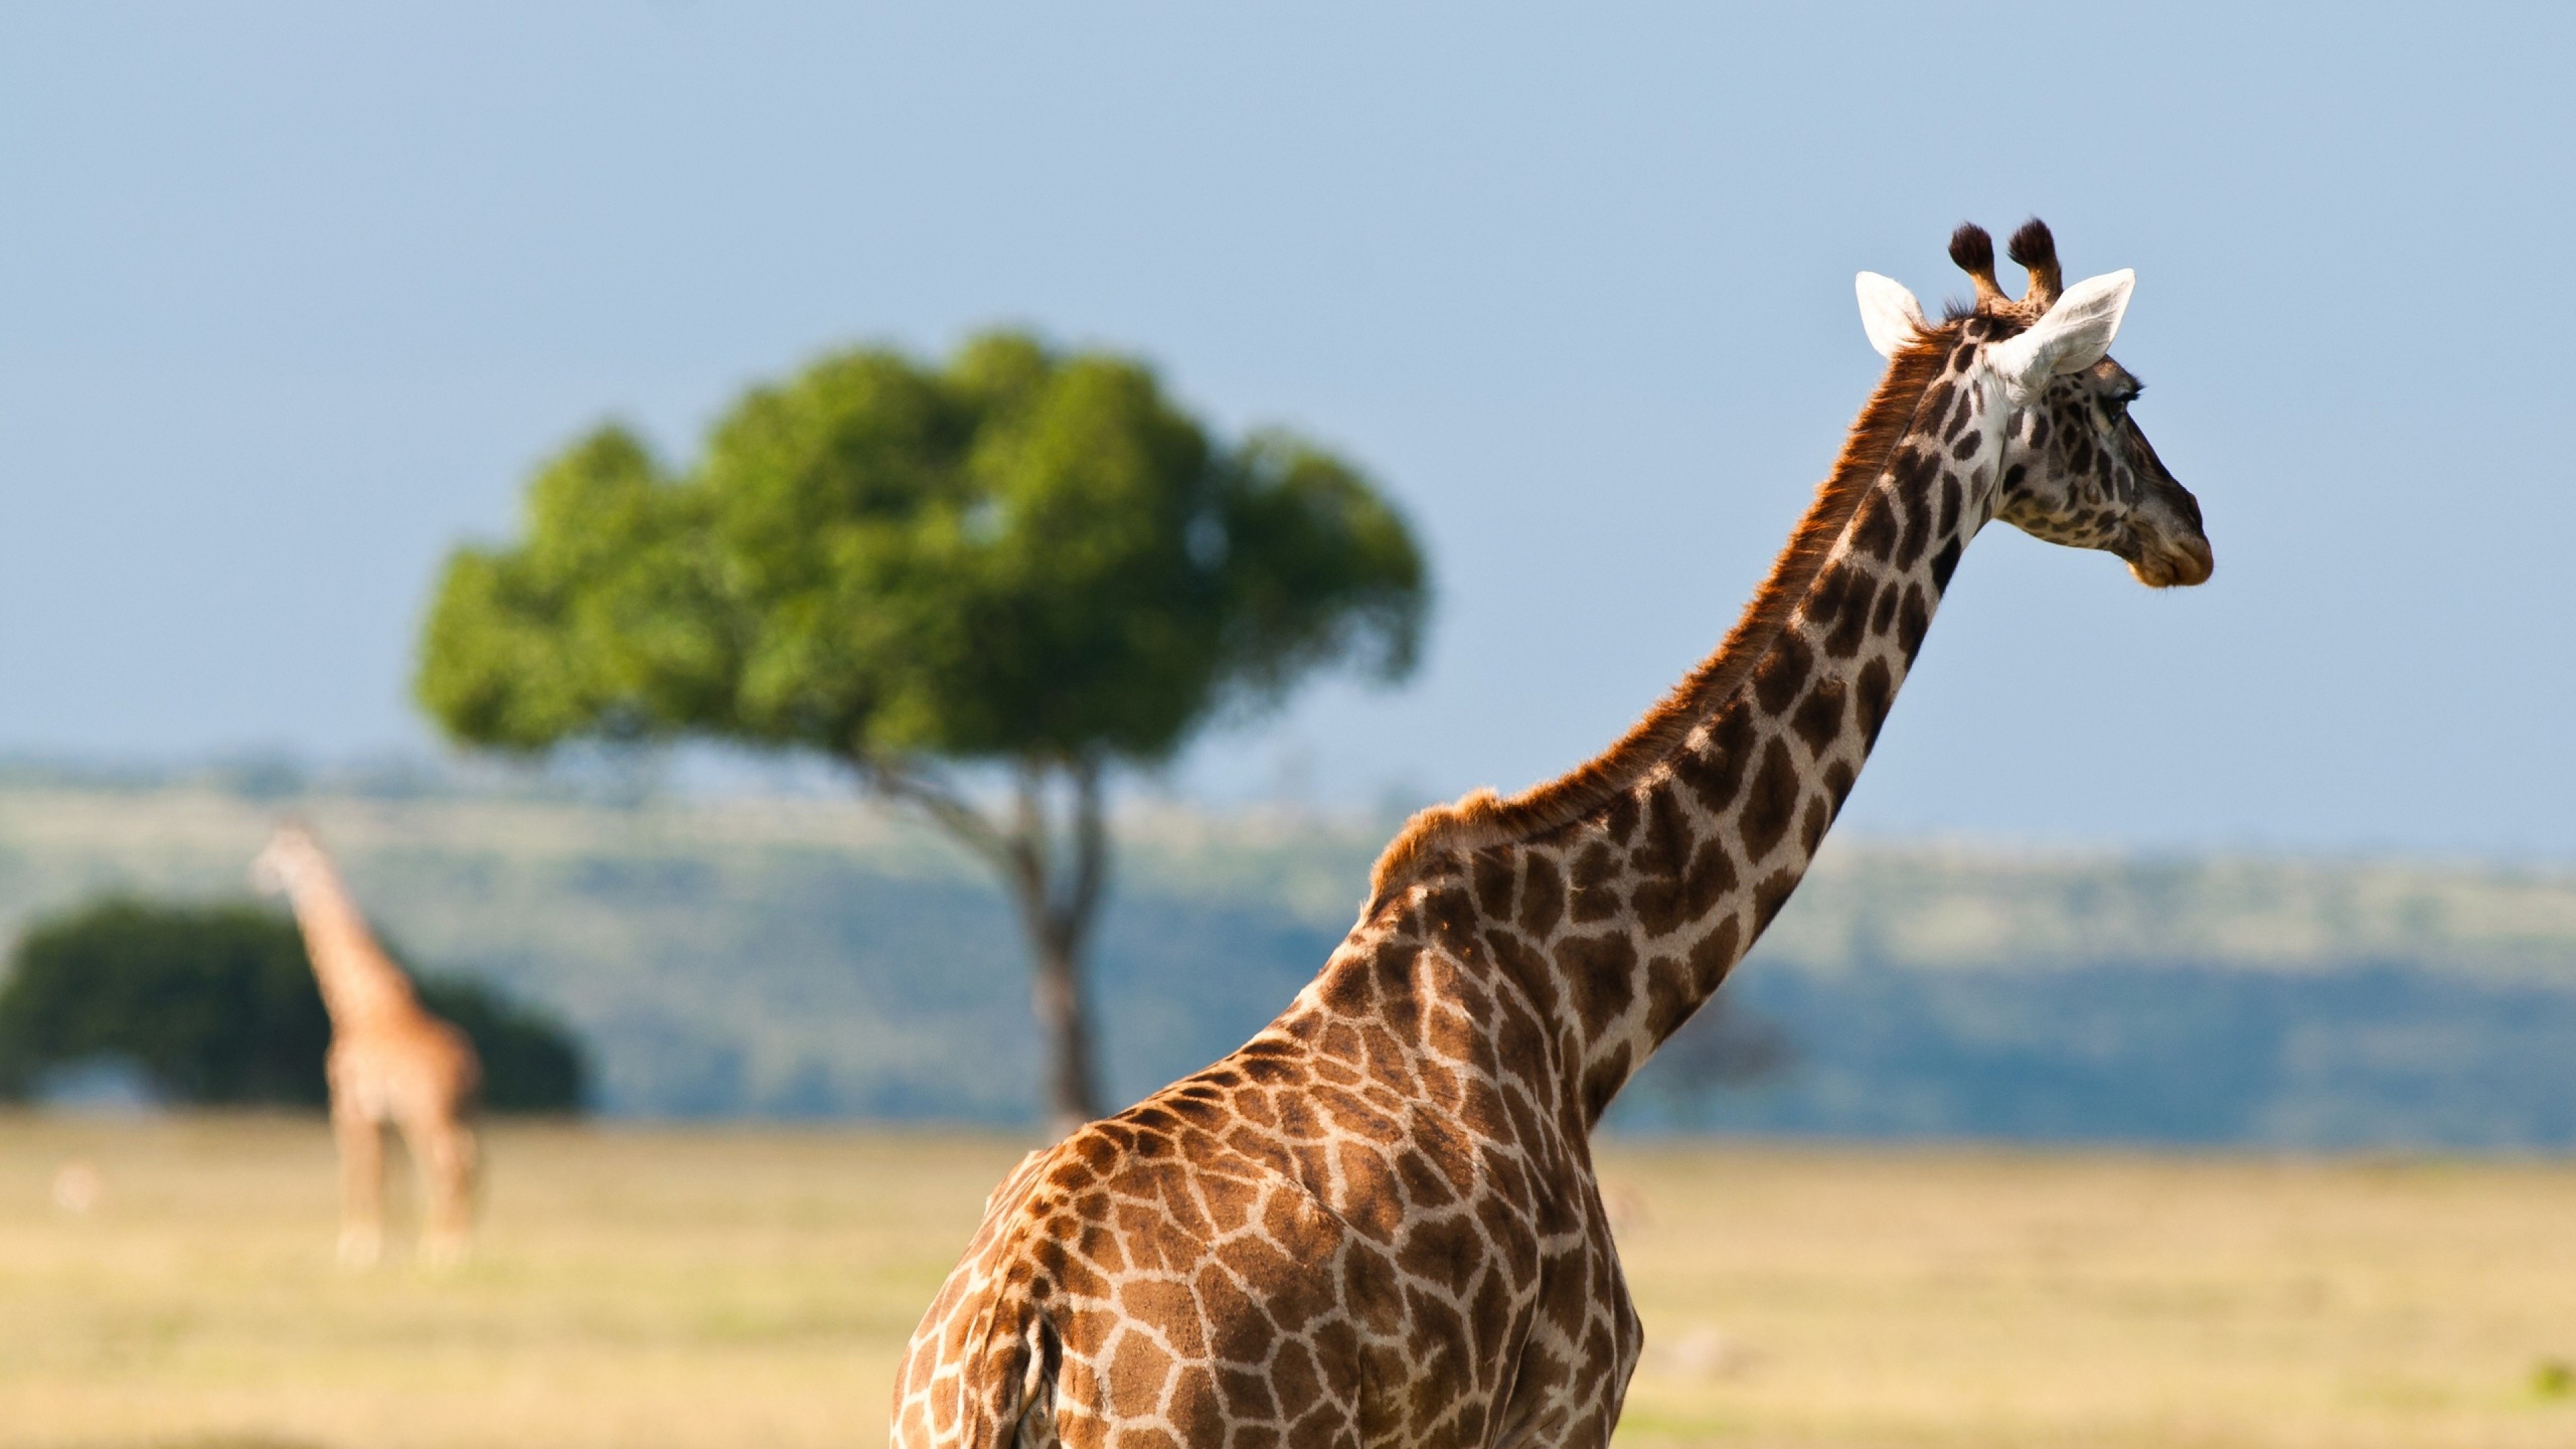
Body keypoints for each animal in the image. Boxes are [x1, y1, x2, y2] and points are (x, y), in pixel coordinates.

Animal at [251, 824, 484, 1263]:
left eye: (281, 853)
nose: (258, 877)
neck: (359, 1005)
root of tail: (468, 1065)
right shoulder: (382, 1113)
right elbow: (391, 1174)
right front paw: (391, 1244)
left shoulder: (349, 1103)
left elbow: (359, 1169)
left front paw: (357, 1247)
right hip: (465, 1111)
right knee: (474, 1160)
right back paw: (457, 1243)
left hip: (426, 1110)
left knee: (448, 1162)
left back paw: (444, 1249)